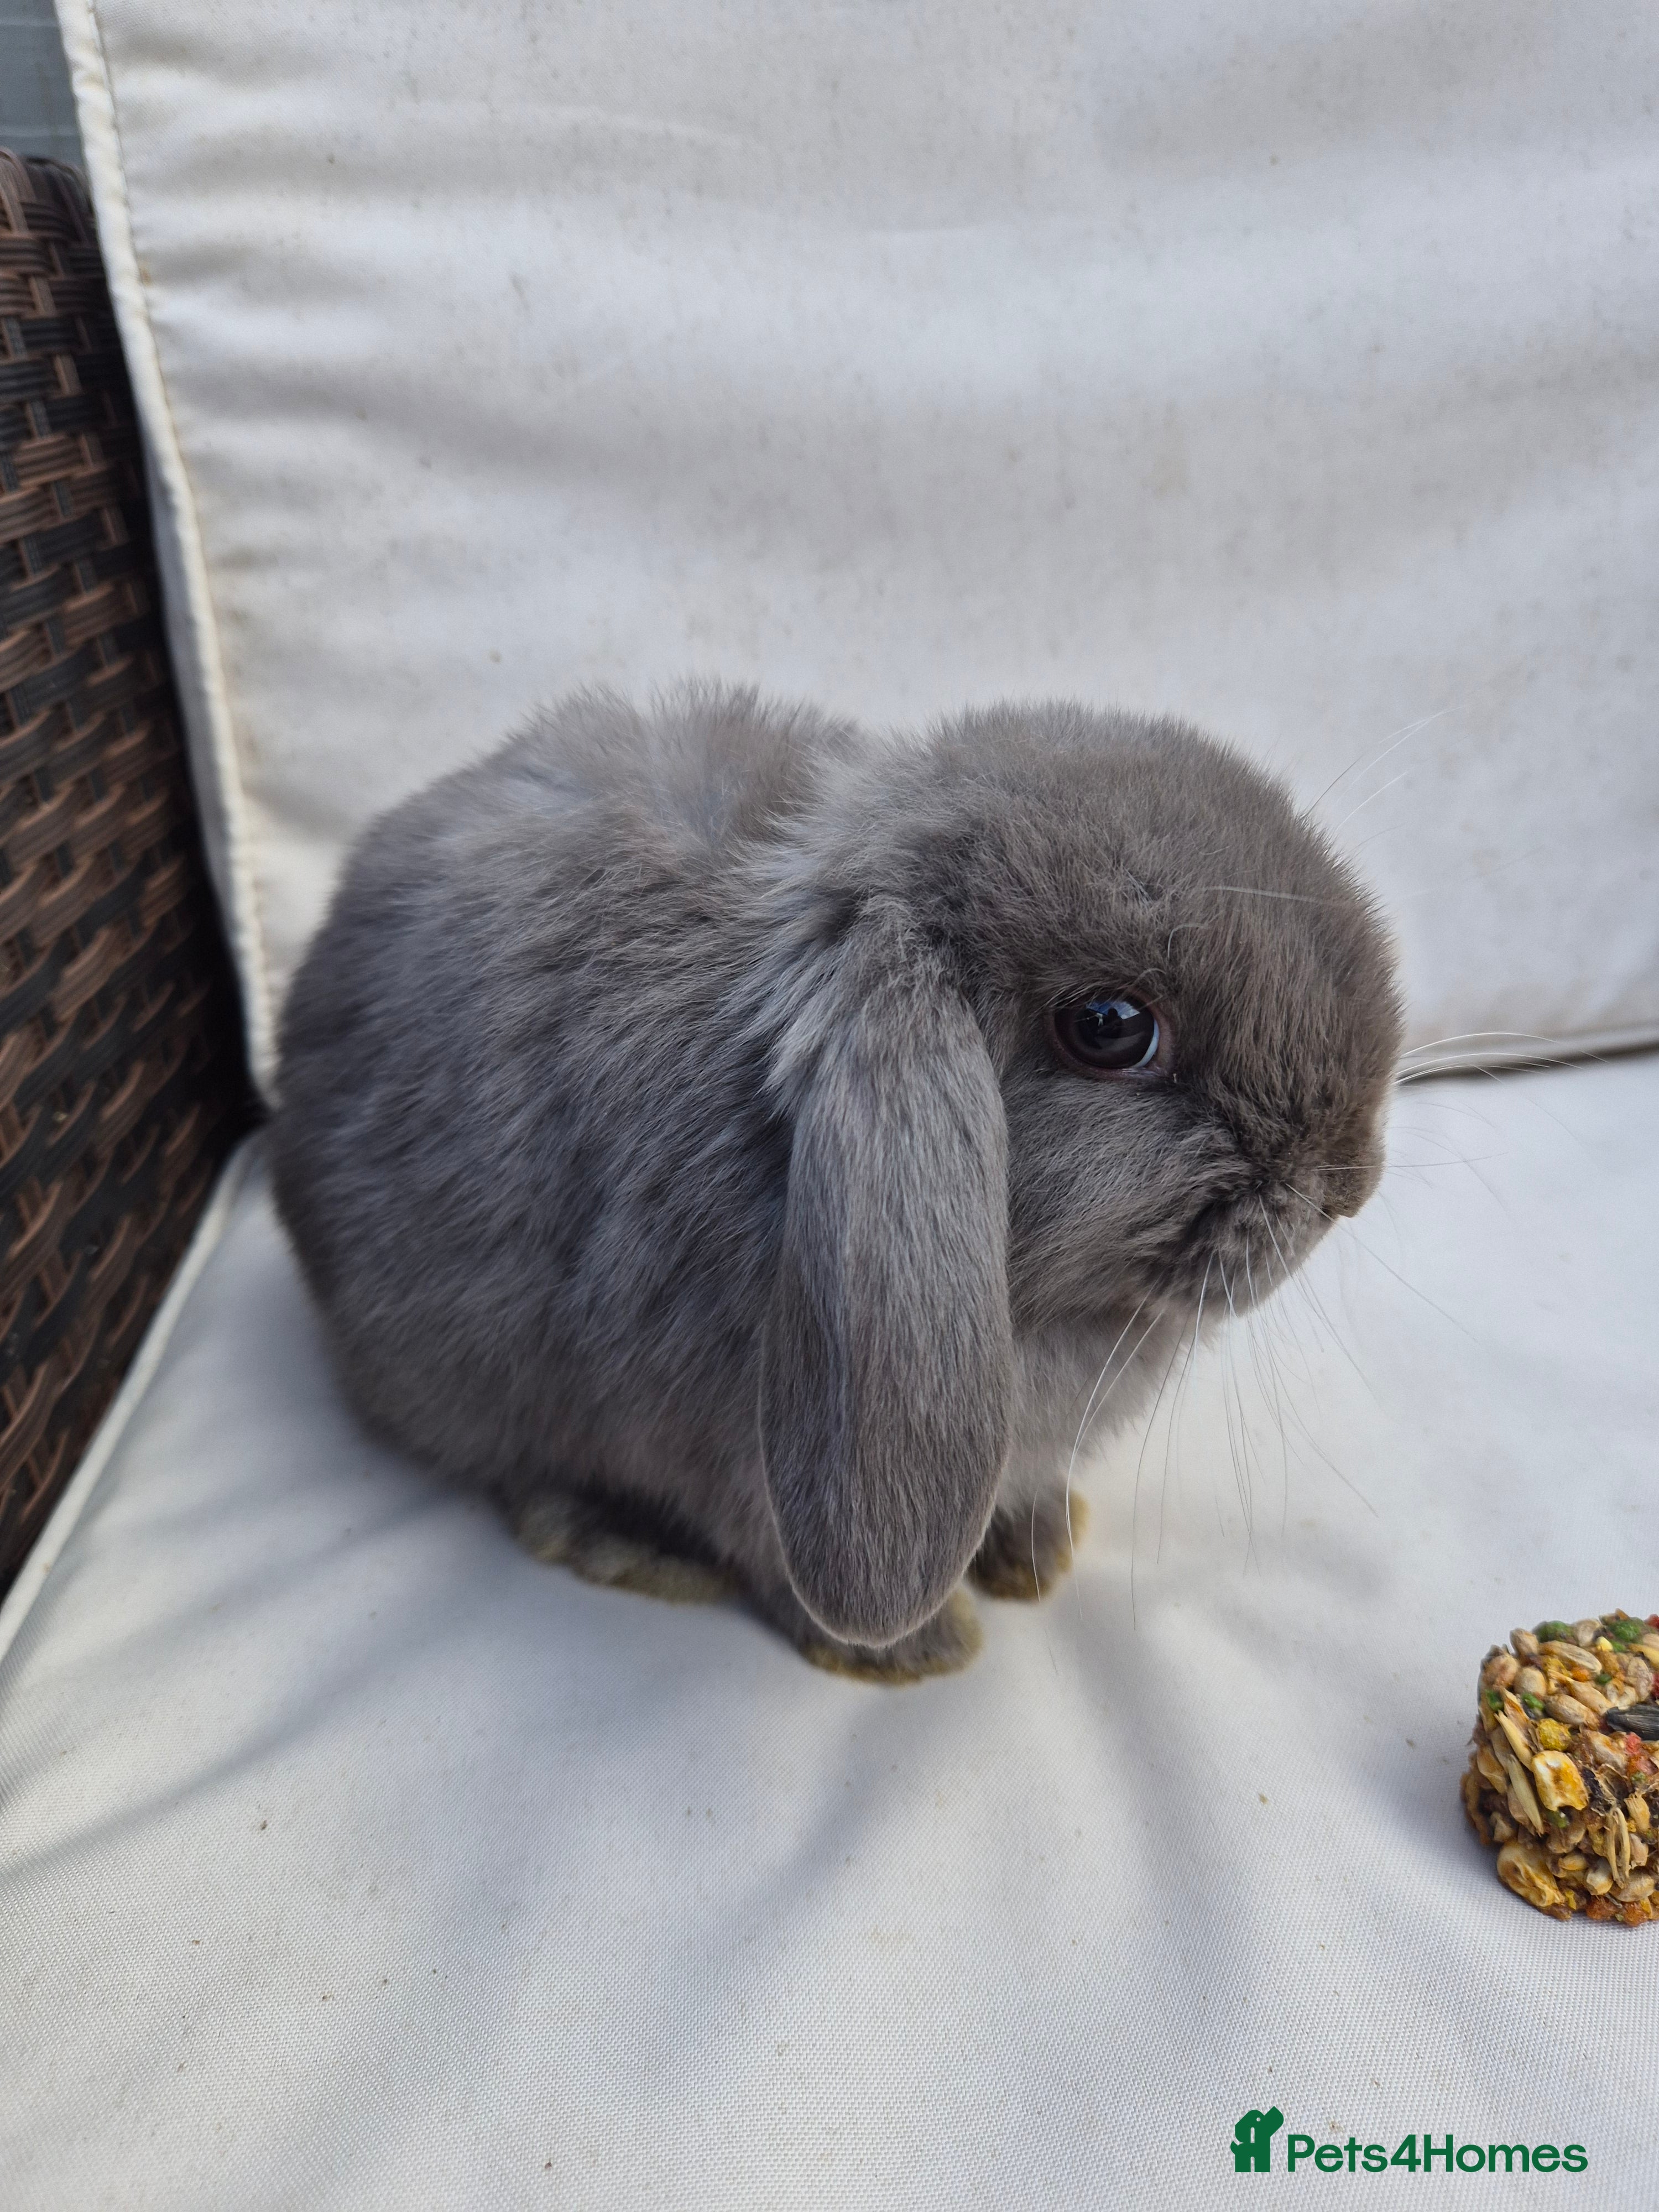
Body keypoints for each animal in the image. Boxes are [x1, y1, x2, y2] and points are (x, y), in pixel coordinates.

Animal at [271, 680, 1402, 1682]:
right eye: (1111, 1027)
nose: (1351, 1181)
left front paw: (1038, 1546)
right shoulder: (734, 1450)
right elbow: (771, 1551)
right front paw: (914, 1651)